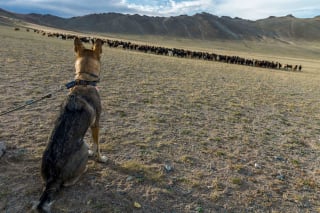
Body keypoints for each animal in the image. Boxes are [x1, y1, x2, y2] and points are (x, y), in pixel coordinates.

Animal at [33, 37, 107, 212]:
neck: (84, 81)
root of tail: (52, 179)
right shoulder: (96, 124)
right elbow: (97, 145)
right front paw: (100, 158)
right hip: (82, 146)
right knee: (69, 182)